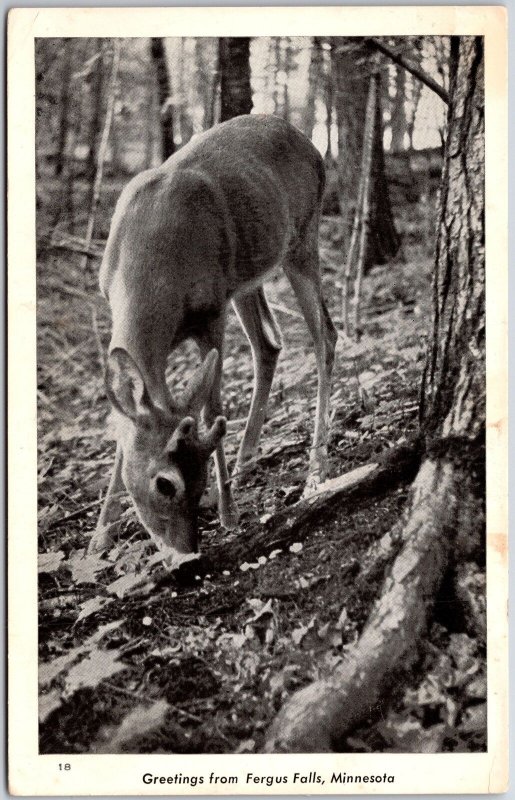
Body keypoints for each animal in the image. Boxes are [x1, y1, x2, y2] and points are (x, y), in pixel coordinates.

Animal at [88, 112, 338, 564]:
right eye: (166, 483)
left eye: (198, 476)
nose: (187, 554)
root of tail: (311, 144)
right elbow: (124, 422)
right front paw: (100, 536)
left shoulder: (211, 312)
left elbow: (212, 407)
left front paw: (228, 512)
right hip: (245, 279)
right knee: (269, 344)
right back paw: (246, 461)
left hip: (301, 239)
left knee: (325, 336)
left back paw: (315, 472)